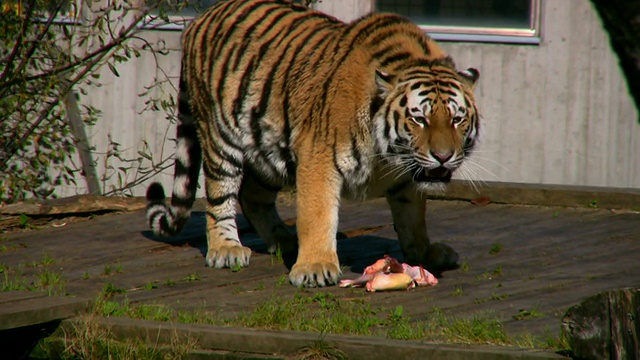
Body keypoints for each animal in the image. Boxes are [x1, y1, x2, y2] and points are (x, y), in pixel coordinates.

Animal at [146, 0, 480, 286]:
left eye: (456, 119)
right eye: (419, 119)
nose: (442, 156)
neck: (389, 157)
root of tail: (200, 19)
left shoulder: (406, 178)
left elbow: (413, 218)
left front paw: (424, 253)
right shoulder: (319, 157)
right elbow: (317, 214)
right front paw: (314, 268)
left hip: (267, 148)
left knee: (252, 196)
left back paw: (285, 240)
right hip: (220, 137)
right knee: (220, 194)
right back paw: (226, 249)